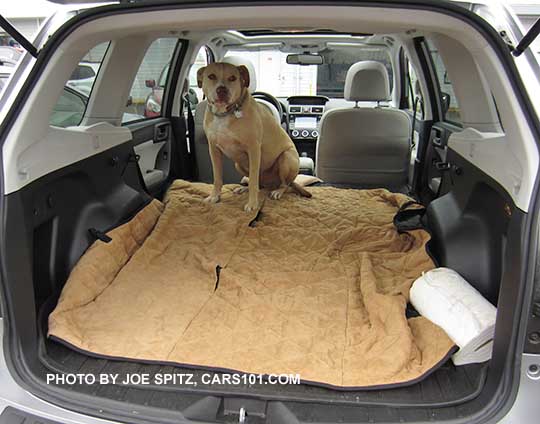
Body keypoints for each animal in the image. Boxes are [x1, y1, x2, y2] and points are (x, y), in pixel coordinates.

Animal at [198, 61, 310, 212]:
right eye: (211, 76)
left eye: (232, 78)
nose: (222, 90)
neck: (224, 114)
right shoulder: (213, 150)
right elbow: (217, 177)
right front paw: (215, 196)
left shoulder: (254, 150)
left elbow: (253, 182)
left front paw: (252, 204)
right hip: (238, 164)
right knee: (259, 183)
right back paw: (243, 189)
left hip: (286, 157)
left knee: (284, 184)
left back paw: (277, 191)